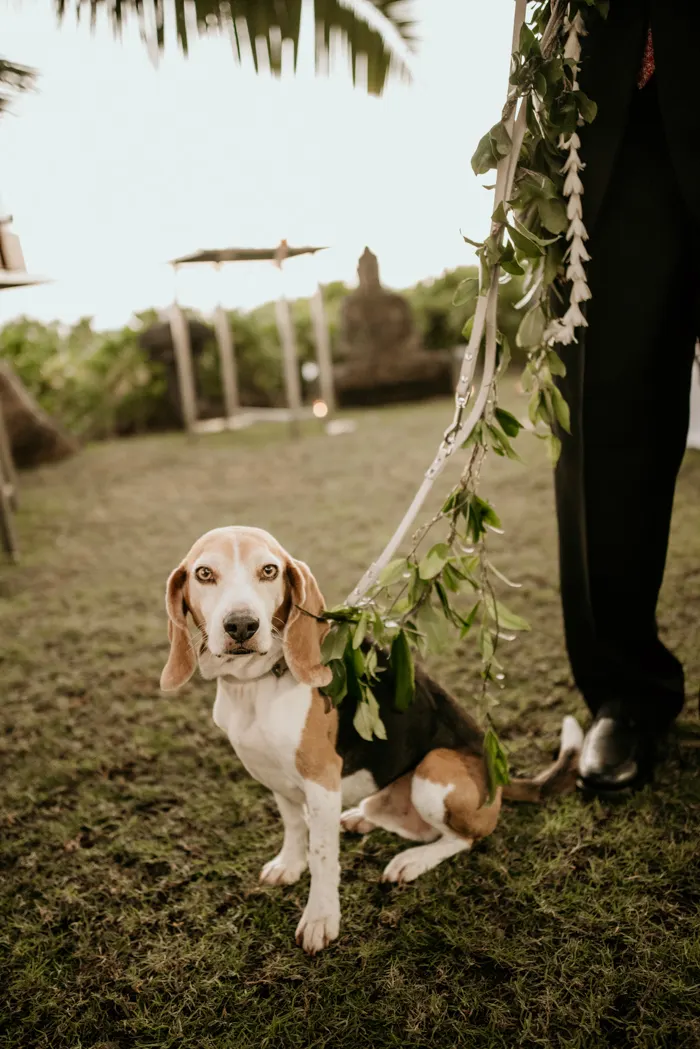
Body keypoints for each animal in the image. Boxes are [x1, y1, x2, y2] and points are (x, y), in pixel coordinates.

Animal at [161, 528, 583, 956]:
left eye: (269, 570)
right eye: (204, 573)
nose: (242, 625)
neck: (257, 682)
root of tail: (501, 776)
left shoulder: (321, 778)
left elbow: (322, 854)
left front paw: (321, 918)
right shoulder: (274, 773)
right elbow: (294, 825)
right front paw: (289, 865)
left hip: (435, 769)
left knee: (463, 838)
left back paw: (412, 860)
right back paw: (361, 817)